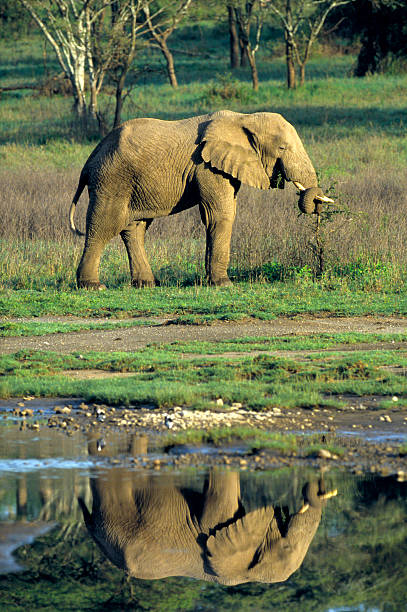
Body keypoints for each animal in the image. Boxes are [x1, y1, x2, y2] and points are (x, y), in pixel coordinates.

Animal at [69, 109, 332, 288]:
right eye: (282, 149)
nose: (316, 202)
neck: (244, 118)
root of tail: (89, 160)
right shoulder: (207, 166)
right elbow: (221, 215)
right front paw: (224, 284)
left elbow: (216, 216)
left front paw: (211, 281)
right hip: (112, 180)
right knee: (104, 224)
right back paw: (93, 286)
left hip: (134, 185)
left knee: (134, 228)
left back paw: (147, 284)